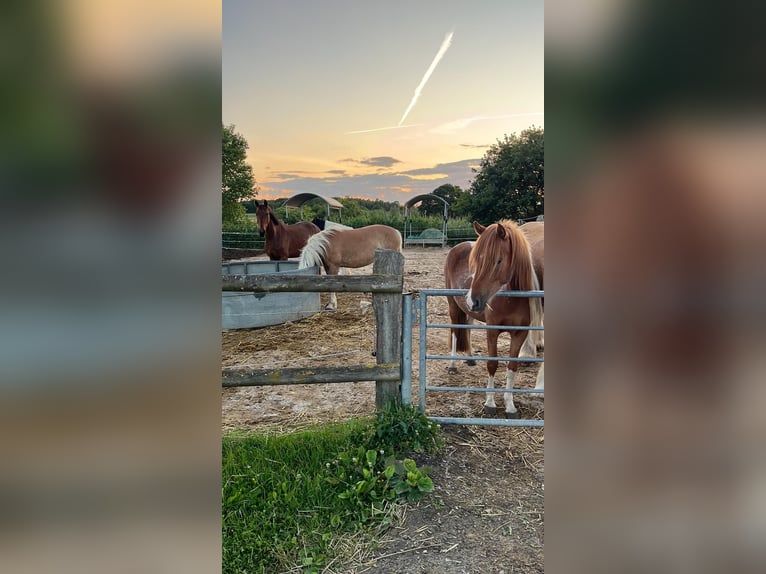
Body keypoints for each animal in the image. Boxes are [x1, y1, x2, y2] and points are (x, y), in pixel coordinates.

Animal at [444, 220, 544, 418]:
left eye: (499, 260)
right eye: (476, 261)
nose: (473, 300)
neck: (510, 299)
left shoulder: (519, 334)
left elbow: (512, 367)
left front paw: (510, 405)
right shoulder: (492, 331)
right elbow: (492, 364)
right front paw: (489, 403)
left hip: (469, 312)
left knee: (467, 329)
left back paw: (470, 358)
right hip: (453, 306)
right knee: (455, 332)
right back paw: (452, 365)